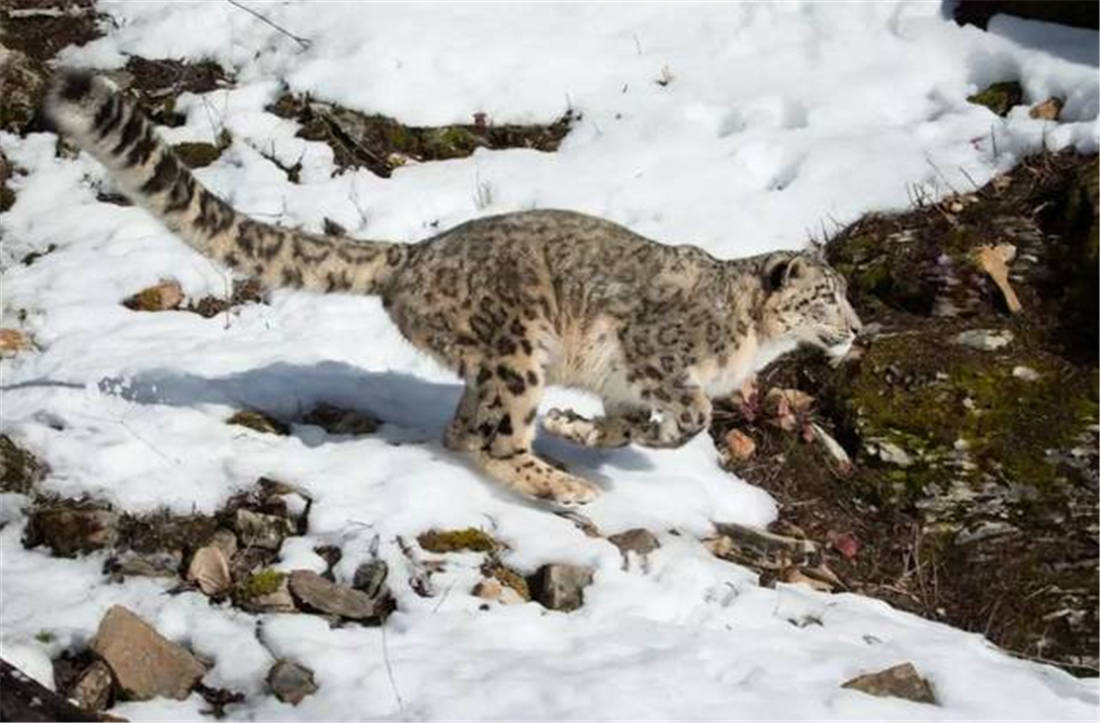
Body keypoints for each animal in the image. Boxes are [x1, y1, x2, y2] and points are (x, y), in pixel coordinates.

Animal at [45, 70, 858, 504]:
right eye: (826, 295)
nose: (855, 329)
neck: (749, 343)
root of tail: (416, 253)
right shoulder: (655, 354)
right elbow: (690, 412)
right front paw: (625, 437)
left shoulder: (627, 385)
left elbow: (627, 422)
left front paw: (583, 430)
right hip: (520, 345)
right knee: (496, 436)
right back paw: (562, 485)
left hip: (491, 362)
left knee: (464, 429)